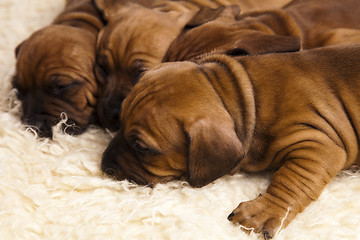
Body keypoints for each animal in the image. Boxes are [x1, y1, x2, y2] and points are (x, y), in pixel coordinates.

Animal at [100, 44, 360, 238]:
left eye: (141, 147)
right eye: (119, 122)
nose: (103, 166)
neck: (244, 96)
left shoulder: (319, 143)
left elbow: (293, 180)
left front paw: (266, 209)